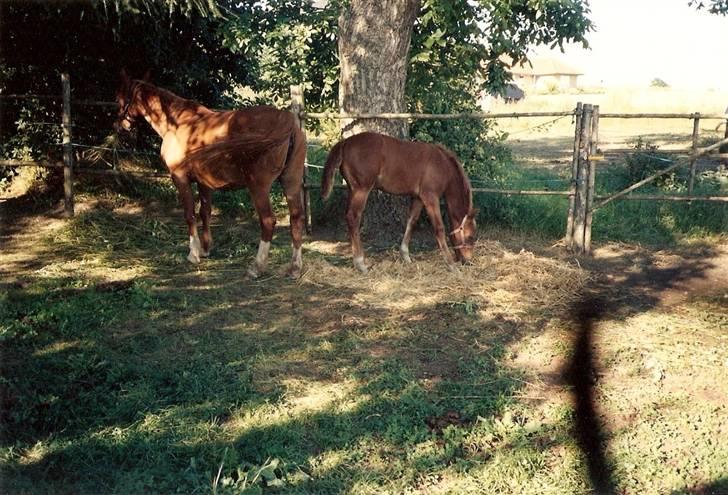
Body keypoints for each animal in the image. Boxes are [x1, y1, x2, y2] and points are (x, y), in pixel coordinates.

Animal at [114, 70, 308, 280]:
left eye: (119, 98)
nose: (119, 125)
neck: (180, 123)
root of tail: (287, 122)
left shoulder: (180, 179)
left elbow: (189, 214)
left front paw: (193, 254)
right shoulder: (204, 183)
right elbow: (204, 212)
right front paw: (206, 248)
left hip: (259, 187)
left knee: (268, 222)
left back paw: (257, 267)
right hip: (291, 181)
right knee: (296, 218)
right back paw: (294, 268)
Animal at [322, 132, 474, 274]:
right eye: (470, 236)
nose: (468, 261)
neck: (442, 165)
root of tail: (346, 142)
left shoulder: (418, 198)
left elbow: (412, 222)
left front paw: (405, 256)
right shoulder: (430, 197)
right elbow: (439, 228)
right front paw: (451, 265)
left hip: (352, 189)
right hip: (361, 190)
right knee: (353, 218)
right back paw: (360, 263)